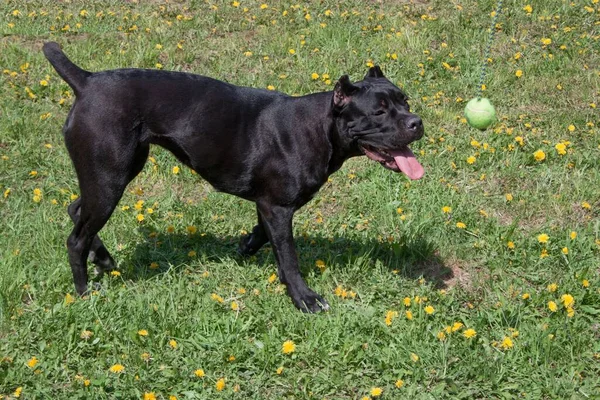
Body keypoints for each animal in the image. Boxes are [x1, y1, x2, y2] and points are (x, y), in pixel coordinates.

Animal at [43, 42, 422, 314]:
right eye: (379, 111)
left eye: (405, 101)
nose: (416, 121)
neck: (321, 127)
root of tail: (86, 81)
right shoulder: (278, 208)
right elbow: (289, 255)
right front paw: (304, 298)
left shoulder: (269, 205)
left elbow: (265, 236)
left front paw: (247, 246)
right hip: (109, 179)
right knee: (76, 238)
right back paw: (84, 291)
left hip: (114, 172)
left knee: (76, 209)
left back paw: (103, 258)